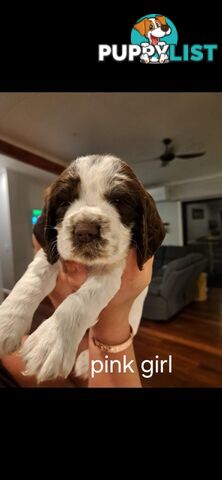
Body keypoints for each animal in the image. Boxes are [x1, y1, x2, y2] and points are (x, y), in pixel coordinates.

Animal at [0, 155, 165, 382]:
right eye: (64, 202)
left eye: (119, 201)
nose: (85, 231)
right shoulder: (52, 248)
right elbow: (33, 277)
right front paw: (8, 320)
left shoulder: (112, 269)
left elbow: (82, 299)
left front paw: (51, 340)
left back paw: (87, 361)